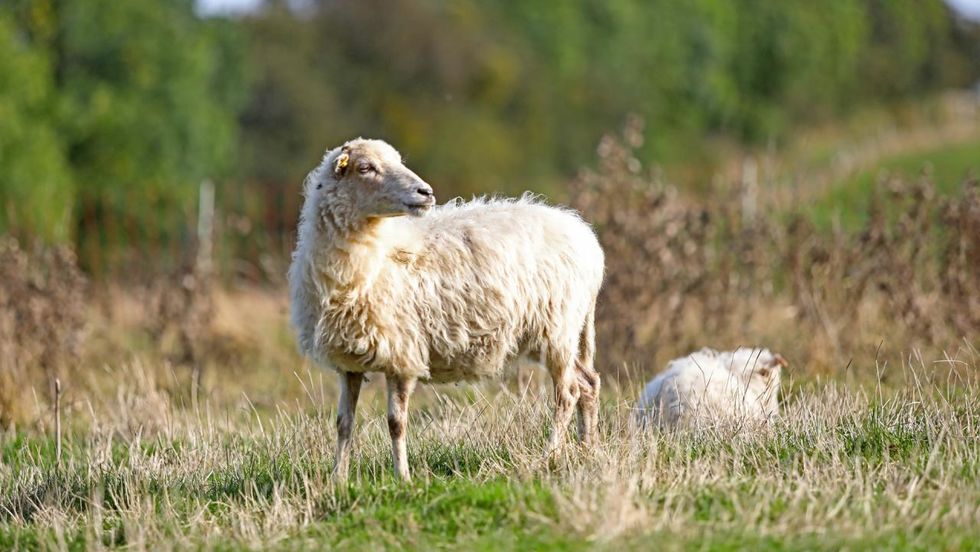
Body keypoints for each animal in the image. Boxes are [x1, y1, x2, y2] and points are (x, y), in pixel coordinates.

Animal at [288, 138, 600, 478]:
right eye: (365, 167)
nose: (425, 192)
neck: (376, 254)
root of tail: (586, 237)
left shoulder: (403, 353)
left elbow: (396, 423)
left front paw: (402, 478)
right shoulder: (349, 362)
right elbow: (343, 424)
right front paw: (338, 479)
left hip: (557, 330)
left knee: (568, 393)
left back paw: (548, 457)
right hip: (562, 333)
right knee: (589, 384)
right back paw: (586, 451)